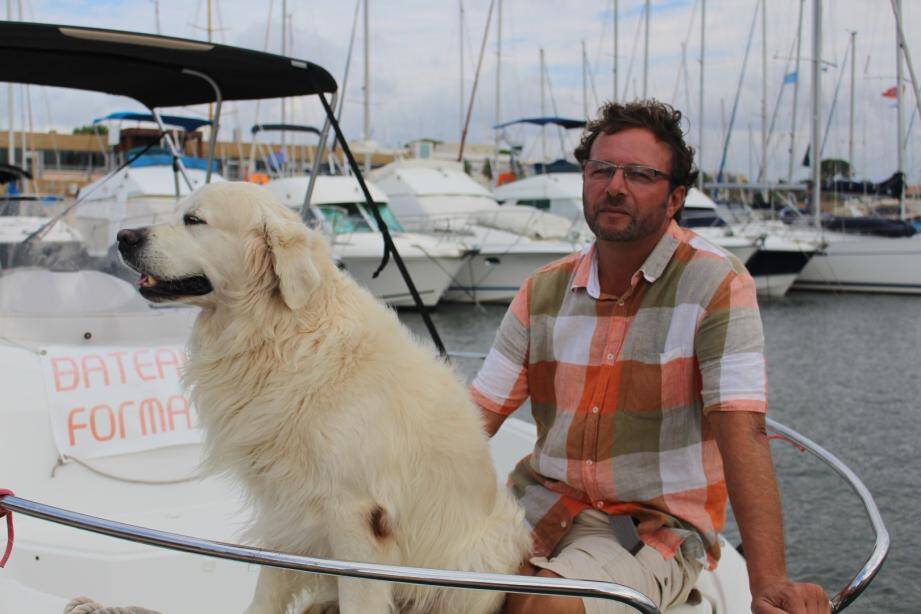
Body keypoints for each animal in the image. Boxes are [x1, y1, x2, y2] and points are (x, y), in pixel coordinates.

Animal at [117, 184, 532, 614]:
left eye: (194, 220)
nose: (123, 237)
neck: (281, 332)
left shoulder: (357, 515)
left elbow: (358, 599)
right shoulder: (286, 505)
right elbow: (268, 589)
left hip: (477, 561)